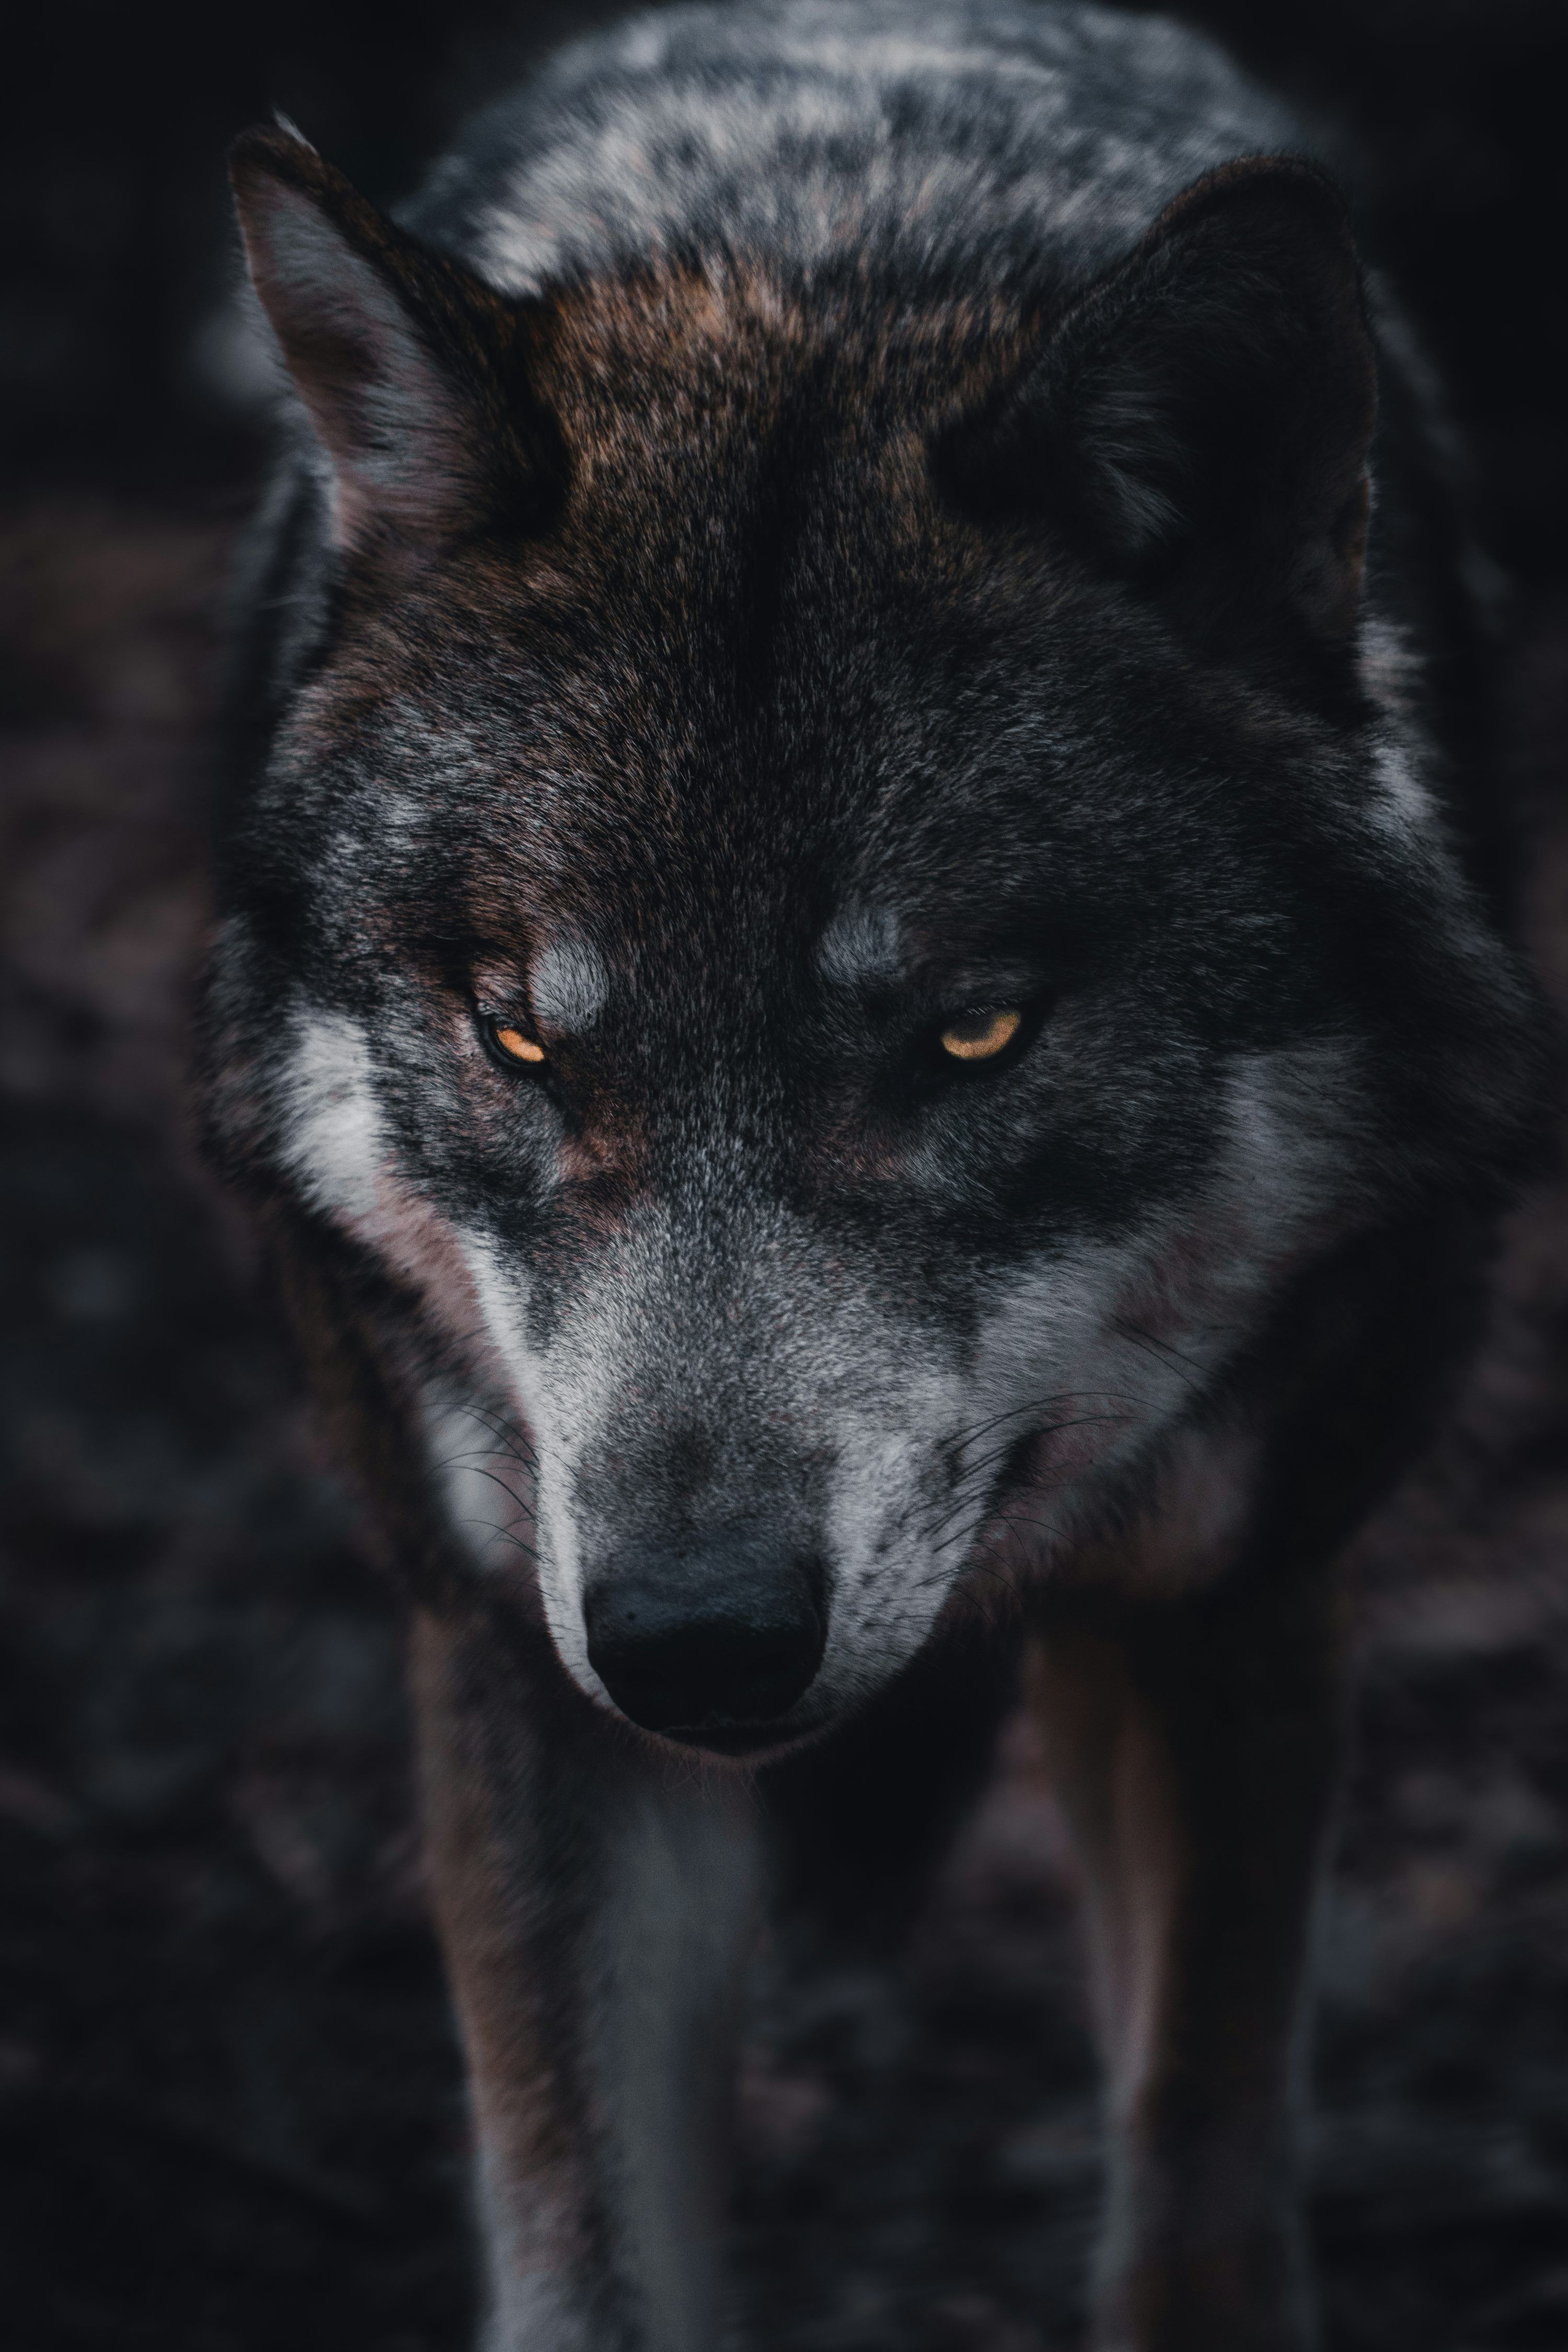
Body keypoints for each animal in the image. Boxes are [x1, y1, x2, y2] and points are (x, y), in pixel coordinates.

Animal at [202, 2, 1544, 2345]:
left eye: (974, 1033)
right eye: (522, 1037)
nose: (694, 1640)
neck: (825, 253)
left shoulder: (1238, 1602)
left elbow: (1200, 2184)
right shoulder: (515, 1657)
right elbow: (590, 2257)